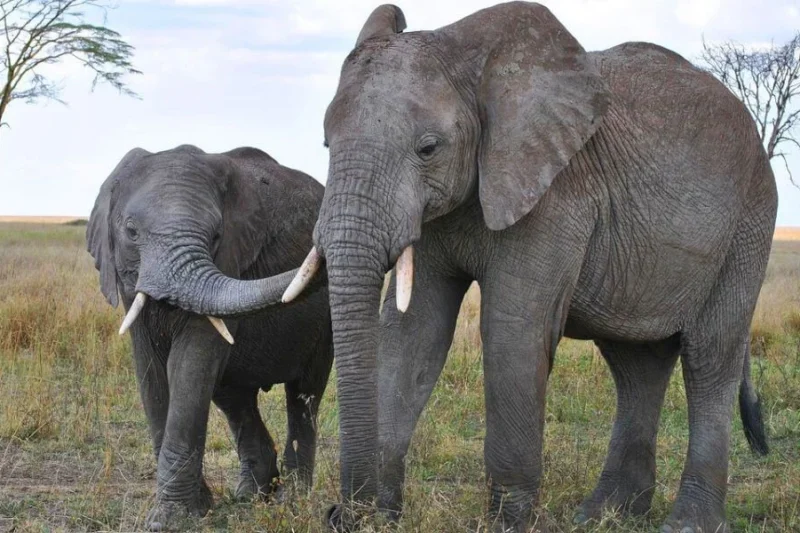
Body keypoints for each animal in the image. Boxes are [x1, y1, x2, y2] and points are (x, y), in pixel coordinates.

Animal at [86, 145, 332, 530]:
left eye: (216, 236)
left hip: (324, 324)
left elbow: (190, 364)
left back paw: (290, 502)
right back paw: (250, 495)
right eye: (131, 231)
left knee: (304, 394)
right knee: (234, 397)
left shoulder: (230, 260)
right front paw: (196, 509)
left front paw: (172, 519)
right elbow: (151, 373)